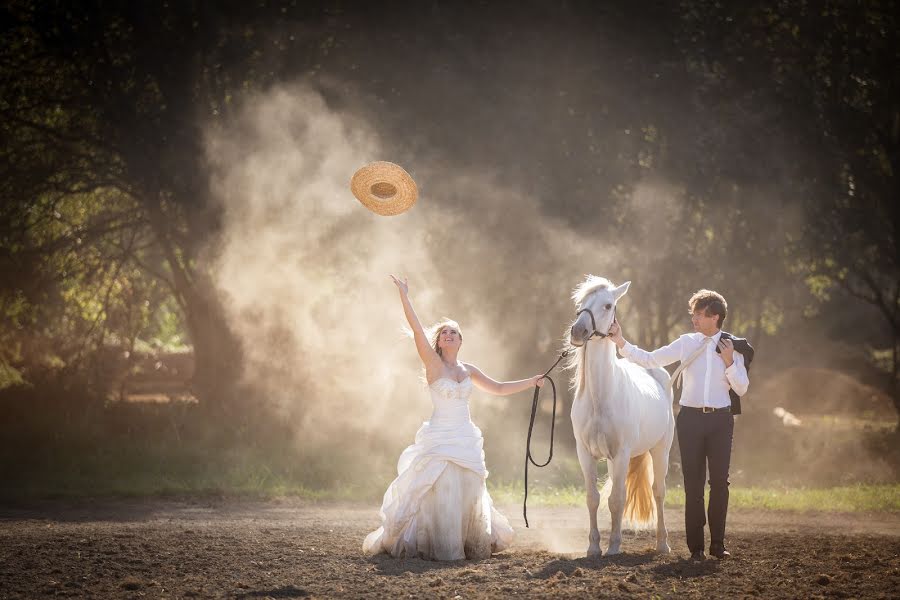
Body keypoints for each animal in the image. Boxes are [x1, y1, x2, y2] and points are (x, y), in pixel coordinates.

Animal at [568, 276, 672, 556]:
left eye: (607, 305)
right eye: (580, 303)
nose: (577, 332)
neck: (601, 398)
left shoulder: (622, 453)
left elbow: (616, 500)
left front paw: (614, 546)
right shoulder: (585, 454)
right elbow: (593, 498)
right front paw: (593, 547)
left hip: (660, 450)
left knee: (658, 492)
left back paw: (662, 544)